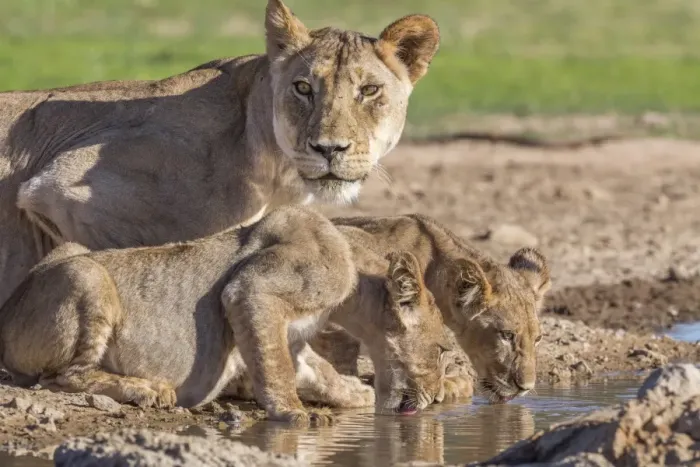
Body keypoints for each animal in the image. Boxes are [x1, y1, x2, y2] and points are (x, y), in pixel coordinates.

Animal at [0, 205, 453, 424]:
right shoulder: (251, 291)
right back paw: (147, 389)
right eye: (441, 349)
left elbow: (314, 370)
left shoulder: (291, 335)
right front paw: (295, 414)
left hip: (71, 250)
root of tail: (7, 310)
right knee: (62, 377)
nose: (434, 399)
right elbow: (278, 371)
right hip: (87, 275)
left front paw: (354, 391)